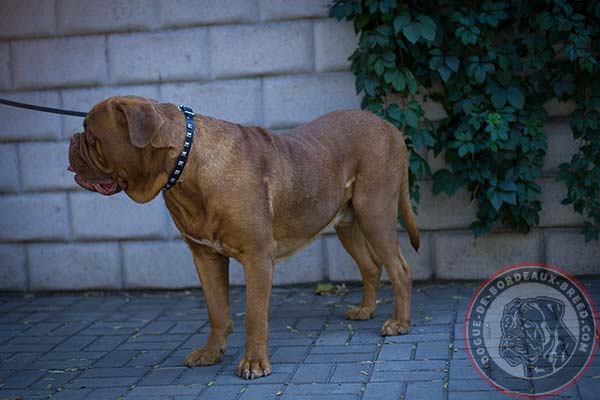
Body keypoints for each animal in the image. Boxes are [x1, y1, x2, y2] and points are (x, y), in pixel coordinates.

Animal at [68, 95, 418, 380]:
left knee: (401, 269)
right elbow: (217, 311)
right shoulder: (205, 257)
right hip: (347, 223)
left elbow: (254, 315)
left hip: (375, 212)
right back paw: (365, 310)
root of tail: (390, 127)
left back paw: (399, 324)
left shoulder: (257, 257)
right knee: (371, 266)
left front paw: (254, 363)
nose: (71, 139)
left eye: (92, 136)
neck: (185, 162)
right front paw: (210, 353)